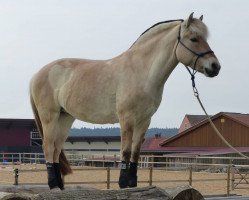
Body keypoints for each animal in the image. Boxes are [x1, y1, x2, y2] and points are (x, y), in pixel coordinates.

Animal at [29, 13, 222, 190]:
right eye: (194, 39)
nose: (215, 66)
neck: (140, 71)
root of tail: (37, 74)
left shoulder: (145, 120)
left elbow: (136, 152)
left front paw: (132, 184)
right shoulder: (127, 118)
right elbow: (126, 150)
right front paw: (122, 183)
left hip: (65, 118)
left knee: (56, 148)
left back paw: (59, 186)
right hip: (50, 117)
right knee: (48, 146)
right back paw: (53, 185)